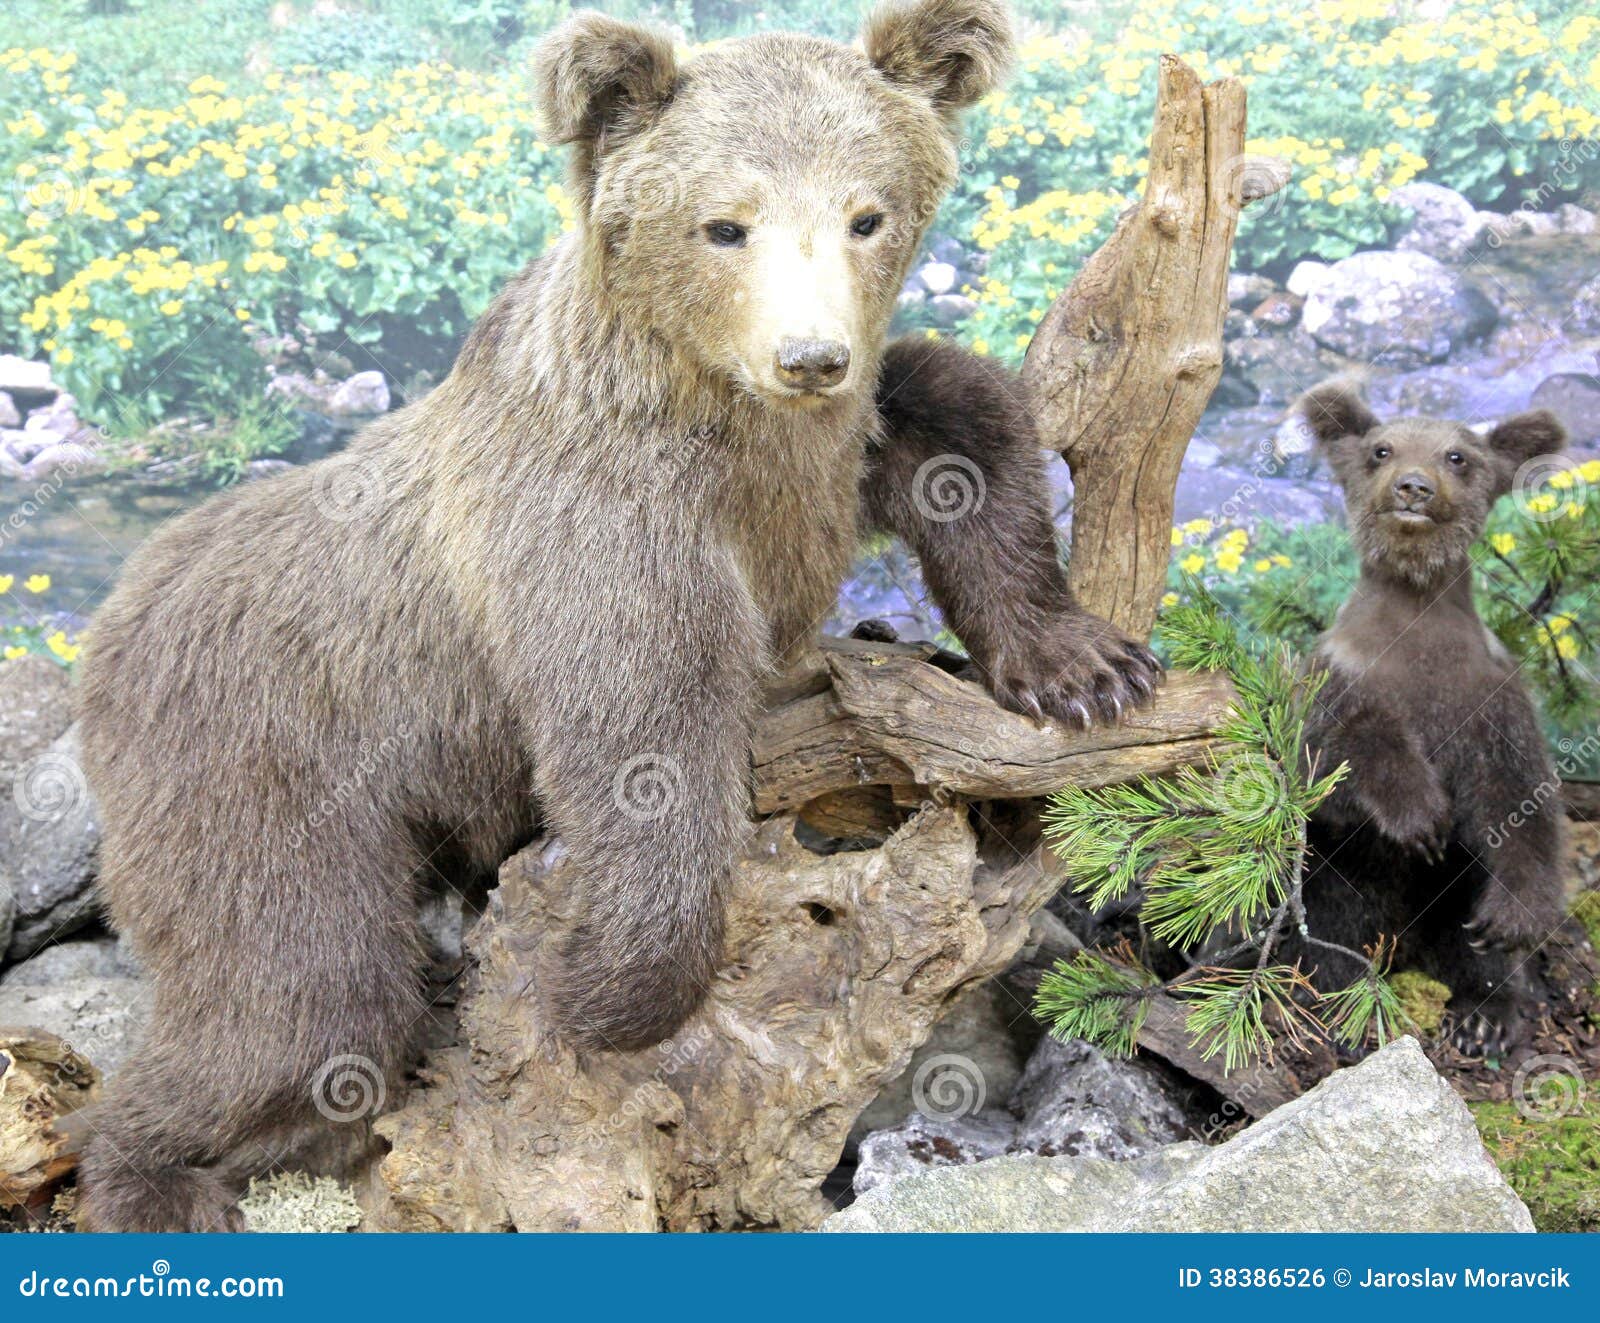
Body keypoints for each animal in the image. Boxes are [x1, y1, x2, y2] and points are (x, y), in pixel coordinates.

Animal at [72, 0, 1161, 1232]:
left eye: (866, 215)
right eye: (724, 223)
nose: (810, 355)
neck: (728, 422)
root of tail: (115, 618)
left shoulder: (824, 458)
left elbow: (963, 422)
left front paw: (1082, 667)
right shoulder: (597, 520)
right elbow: (643, 730)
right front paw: (607, 988)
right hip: (256, 755)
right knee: (299, 988)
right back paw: (158, 1176)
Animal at [1293, 381, 1570, 1058]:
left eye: (1457, 456)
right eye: (1381, 449)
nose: (1412, 487)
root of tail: (1406, 948)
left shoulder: (1492, 704)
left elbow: (1523, 804)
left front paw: (1513, 919)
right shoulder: (1335, 679)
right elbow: (1337, 754)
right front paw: (1418, 813)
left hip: (1447, 899)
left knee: (1465, 936)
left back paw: (1484, 1016)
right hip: (1341, 881)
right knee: (1332, 932)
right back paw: (1343, 1010)